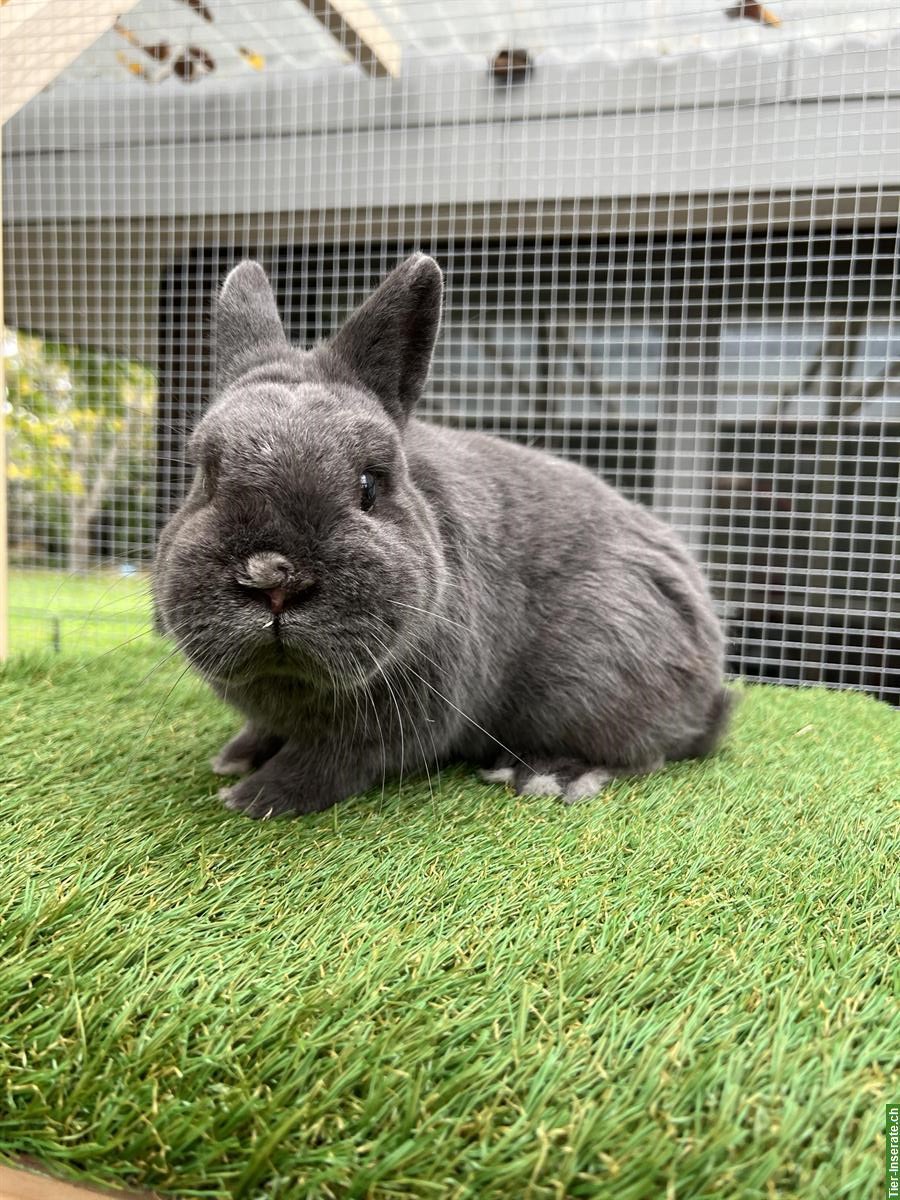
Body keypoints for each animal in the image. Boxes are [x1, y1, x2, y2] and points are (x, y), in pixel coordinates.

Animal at [153, 253, 734, 816]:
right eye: (205, 476)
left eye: (368, 485)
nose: (274, 580)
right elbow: (266, 730)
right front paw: (235, 758)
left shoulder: (402, 719)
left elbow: (329, 762)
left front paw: (257, 797)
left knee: (640, 753)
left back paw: (547, 774)